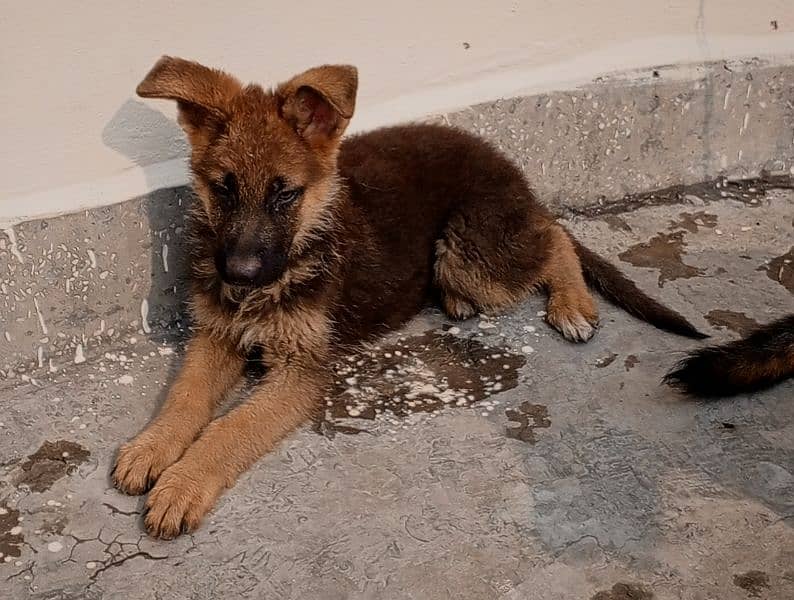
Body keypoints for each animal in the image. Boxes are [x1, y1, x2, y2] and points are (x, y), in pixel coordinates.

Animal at [111, 57, 700, 540]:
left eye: (286, 194)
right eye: (224, 189)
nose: (237, 274)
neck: (300, 248)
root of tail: (514, 176)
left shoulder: (302, 370)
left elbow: (230, 428)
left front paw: (183, 484)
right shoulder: (217, 334)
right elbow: (185, 397)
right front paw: (151, 448)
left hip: (470, 253)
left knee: (554, 236)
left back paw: (571, 305)